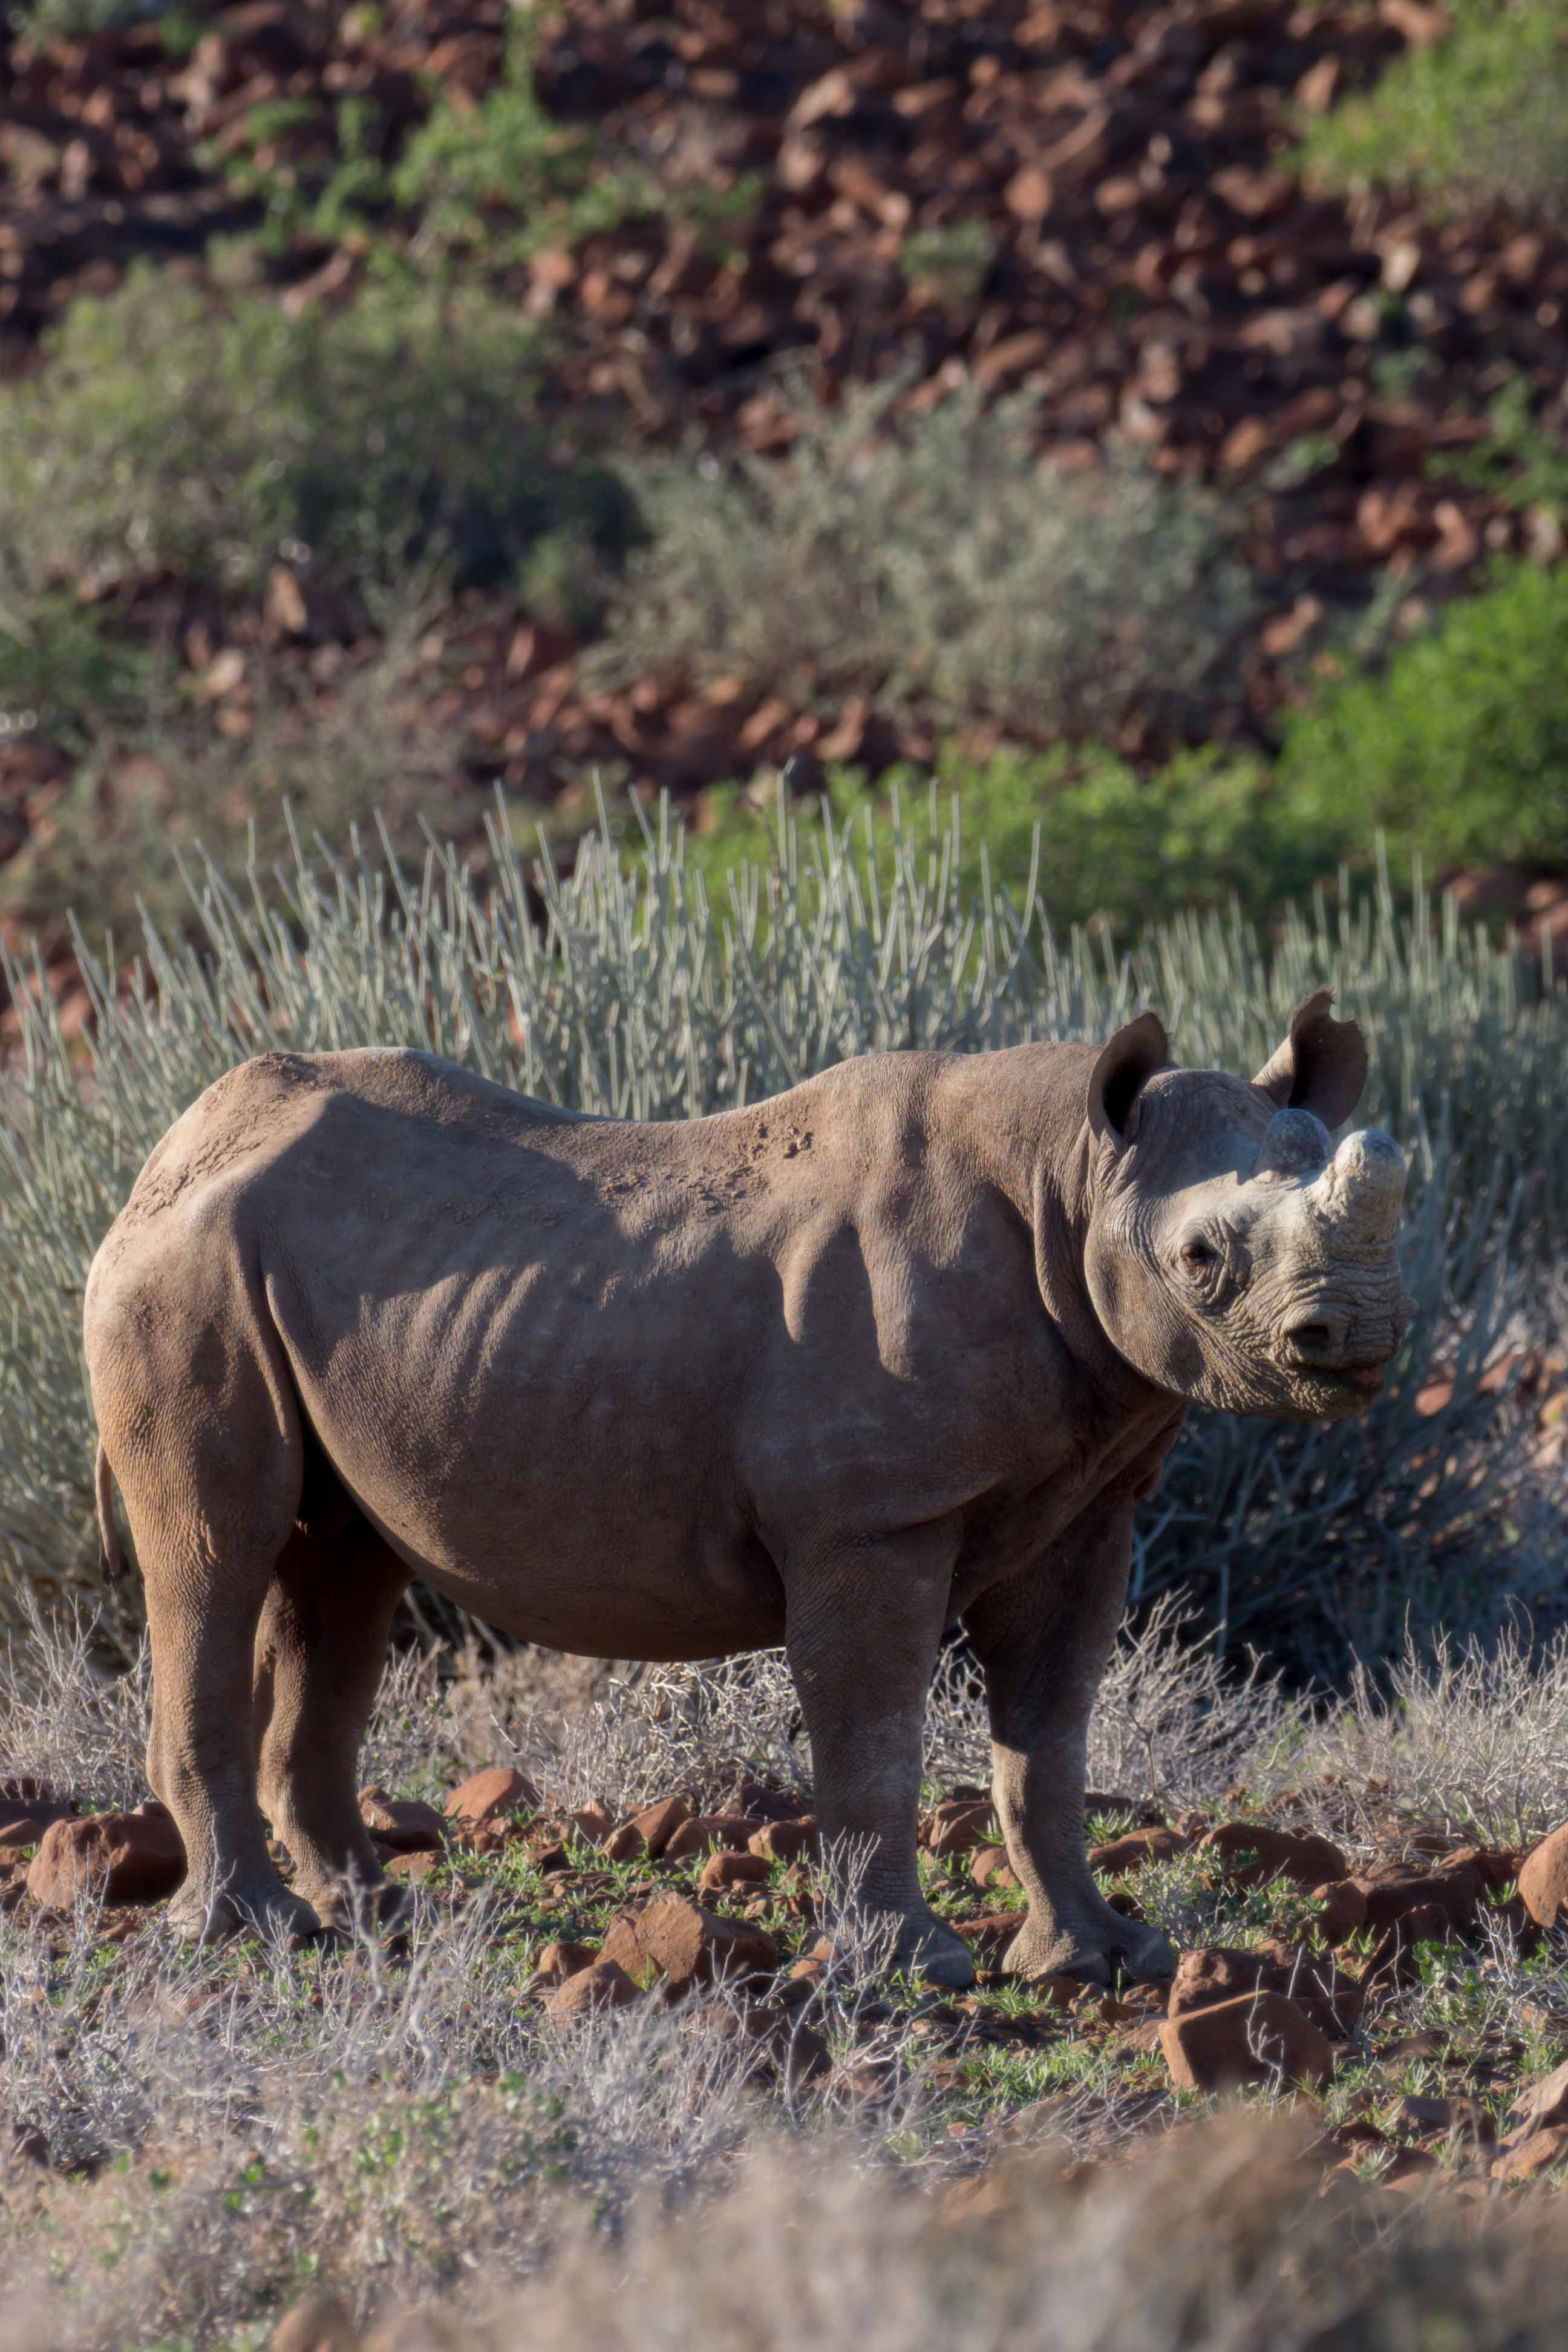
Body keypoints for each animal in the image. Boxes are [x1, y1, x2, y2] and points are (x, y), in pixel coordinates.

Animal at [84, 989, 1412, 1985]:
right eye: (1198, 1256)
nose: (1352, 1336)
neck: (1074, 1175)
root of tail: (159, 1163)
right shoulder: (873, 1519)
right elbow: (874, 1730)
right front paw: (914, 1969)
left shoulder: (1089, 1501)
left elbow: (1049, 1734)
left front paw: (1104, 1958)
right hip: (187, 1268)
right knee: (214, 1552)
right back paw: (251, 1935)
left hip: (321, 1288)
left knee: (341, 1570)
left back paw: (370, 1918)